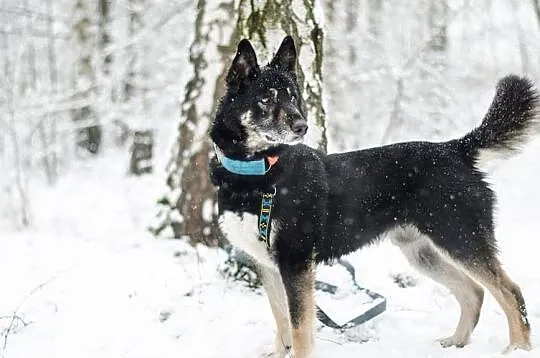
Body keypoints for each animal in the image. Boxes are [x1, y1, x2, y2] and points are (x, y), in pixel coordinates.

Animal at [208, 35, 536, 356]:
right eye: (266, 98)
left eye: (292, 96)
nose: (302, 126)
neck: (258, 171)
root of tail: (456, 150)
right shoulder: (267, 264)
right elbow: (282, 320)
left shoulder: (295, 262)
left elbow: (300, 328)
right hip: (422, 252)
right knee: (474, 291)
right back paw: (456, 342)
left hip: (461, 238)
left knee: (510, 290)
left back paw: (518, 347)